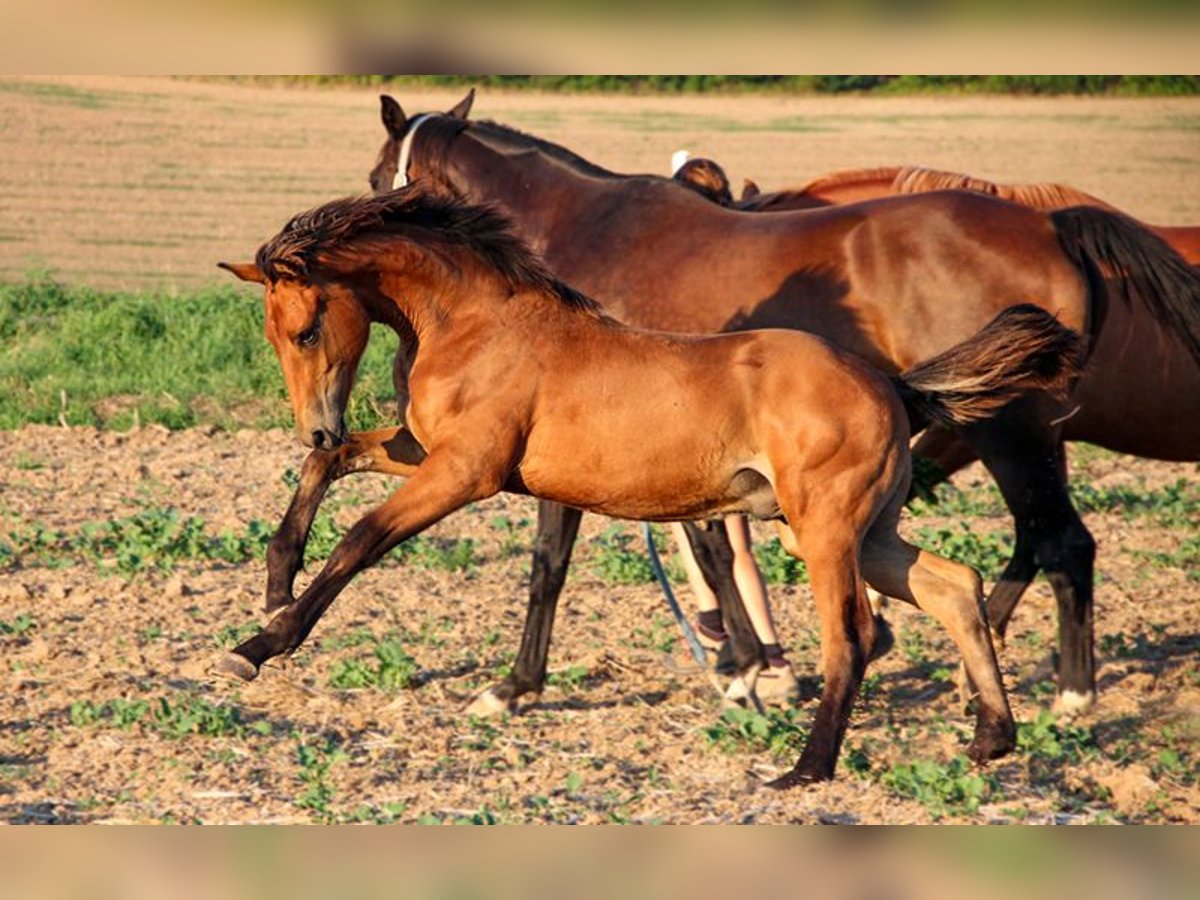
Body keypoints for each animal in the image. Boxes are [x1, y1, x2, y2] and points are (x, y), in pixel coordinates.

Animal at [216, 188, 1089, 782]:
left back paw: (806, 770)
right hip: (864, 533)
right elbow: (334, 466)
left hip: (826, 530)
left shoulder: (467, 471)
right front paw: (275, 578)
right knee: (953, 585)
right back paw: (991, 737)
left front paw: (258, 648)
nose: (313, 422)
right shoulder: (426, 450)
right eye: (271, 335)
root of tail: (893, 385)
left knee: (855, 634)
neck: (478, 324)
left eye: (307, 329)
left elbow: (363, 537)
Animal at [274, 95, 1200, 724]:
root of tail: (1053, 226)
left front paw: (521, 686)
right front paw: (747, 663)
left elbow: (568, 559)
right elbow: (698, 543)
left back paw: (1067, 697)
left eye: (386, 177)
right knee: (1034, 544)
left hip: (1013, 435)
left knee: (1060, 541)